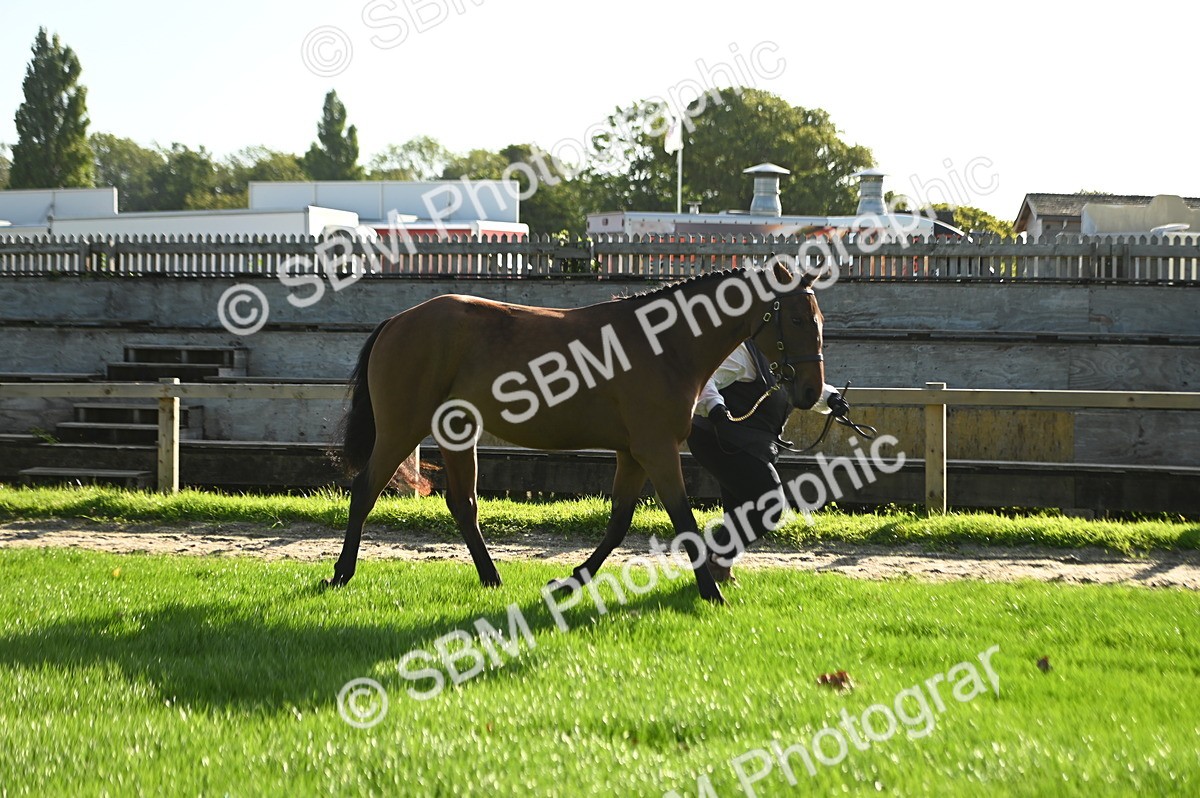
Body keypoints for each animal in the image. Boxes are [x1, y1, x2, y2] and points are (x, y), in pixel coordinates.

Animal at [326, 259, 826, 604]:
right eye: (798, 319)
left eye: (818, 319)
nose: (811, 390)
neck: (664, 344)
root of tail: (397, 321)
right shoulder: (658, 450)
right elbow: (683, 520)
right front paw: (712, 592)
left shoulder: (633, 454)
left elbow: (619, 523)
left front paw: (569, 581)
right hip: (401, 428)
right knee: (365, 490)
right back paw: (341, 573)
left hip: (457, 431)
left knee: (463, 504)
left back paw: (491, 577)